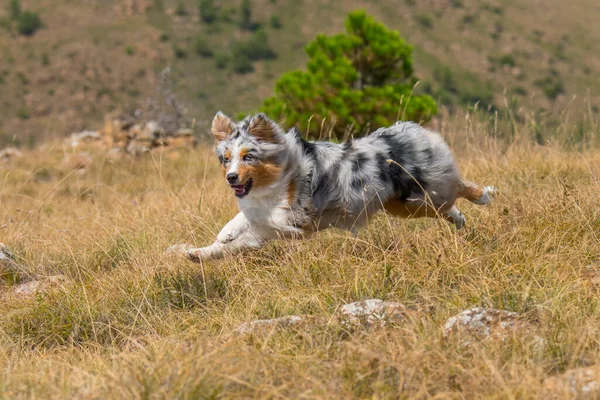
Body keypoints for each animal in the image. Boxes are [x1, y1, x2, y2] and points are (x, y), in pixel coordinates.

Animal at [176, 112, 494, 262]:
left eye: (248, 157)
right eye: (226, 159)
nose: (231, 178)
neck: (276, 179)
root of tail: (410, 130)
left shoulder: (296, 214)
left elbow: (266, 219)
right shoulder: (260, 224)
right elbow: (237, 231)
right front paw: (202, 249)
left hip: (426, 191)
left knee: (460, 187)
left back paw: (485, 196)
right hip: (407, 205)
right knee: (448, 208)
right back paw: (461, 220)